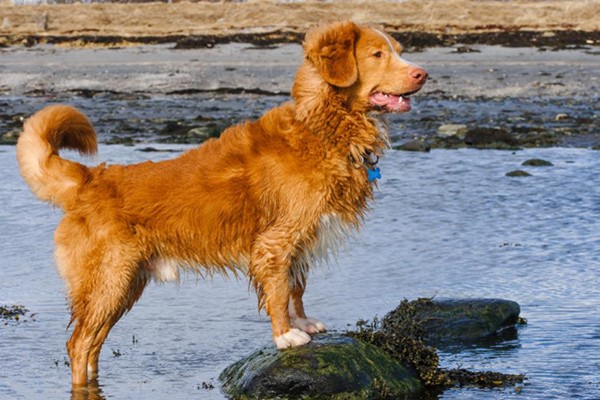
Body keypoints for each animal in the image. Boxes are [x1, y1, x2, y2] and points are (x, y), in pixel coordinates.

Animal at [14, 20, 426, 386]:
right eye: (377, 54)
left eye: (398, 51)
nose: (423, 74)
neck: (324, 129)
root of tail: (89, 179)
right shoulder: (276, 240)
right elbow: (279, 291)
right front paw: (285, 335)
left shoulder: (301, 240)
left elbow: (297, 287)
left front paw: (302, 322)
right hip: (108, 282)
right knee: (78, 344)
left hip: (124, 286)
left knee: (92, 345)